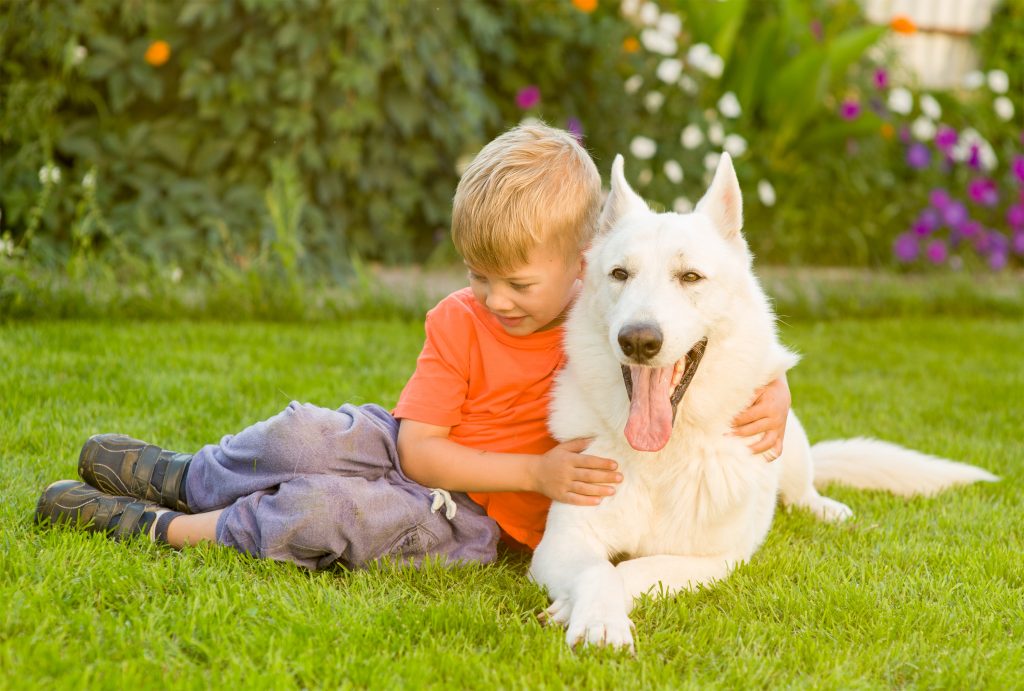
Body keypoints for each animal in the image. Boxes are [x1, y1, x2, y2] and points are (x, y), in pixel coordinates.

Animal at [532, 152, 995, 655]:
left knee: (802, 489)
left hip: (790, 433)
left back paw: (824, 508)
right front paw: (595, 617)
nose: (638, 340)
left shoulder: (713, 559)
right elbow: (599, 569)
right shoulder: (563, 540)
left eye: (690, 277)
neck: (662, 457)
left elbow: (632, 568)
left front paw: (587, 612)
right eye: (620, 274)